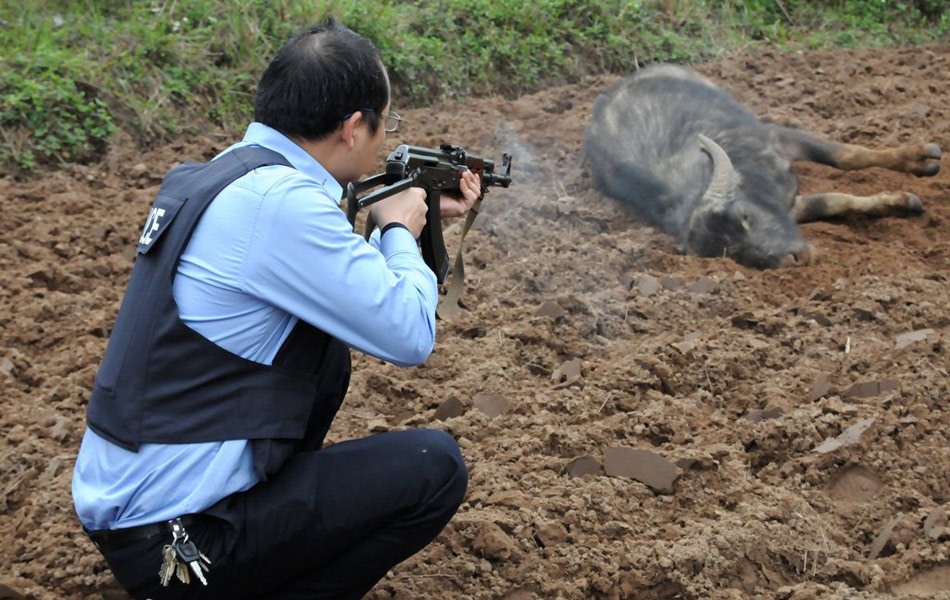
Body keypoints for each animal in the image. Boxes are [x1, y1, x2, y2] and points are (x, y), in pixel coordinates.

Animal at [588, 64, 944, 268]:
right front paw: (898, 202)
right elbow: (838, 201)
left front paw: (919, 159)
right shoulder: (794, 207)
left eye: (744, 216)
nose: (794, 259)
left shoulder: (782, 141)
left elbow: (848, 156)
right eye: (732, 253)